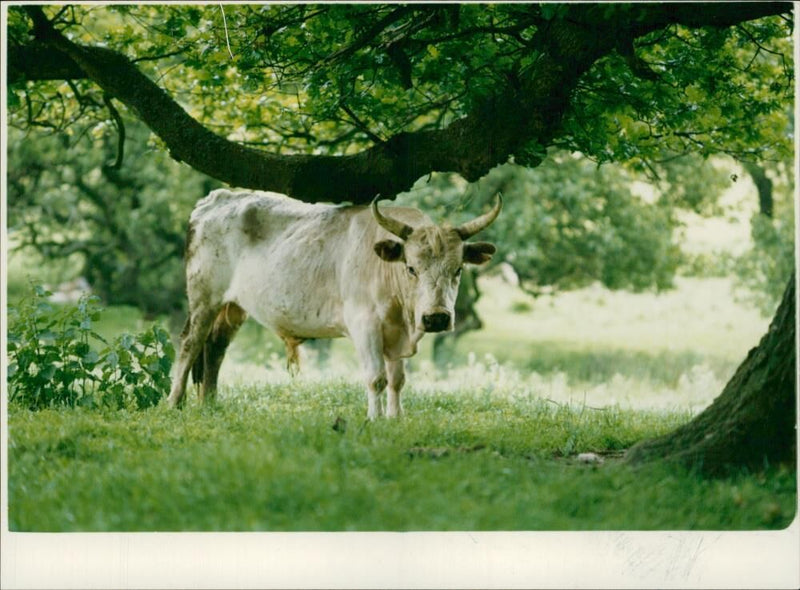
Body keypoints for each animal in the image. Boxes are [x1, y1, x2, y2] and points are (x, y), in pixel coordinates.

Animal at [168, 191, 500, 420]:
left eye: (458, 269)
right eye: (411, 268)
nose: (436, 318)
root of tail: (216, 198)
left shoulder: (395, 333)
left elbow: (397, 380)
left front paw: (396, 418)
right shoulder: (365, 326)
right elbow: (377, 378)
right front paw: (375, 419)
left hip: (232, 307)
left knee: (215, 349)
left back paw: (210, 403)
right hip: (203, 299)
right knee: (189, 344)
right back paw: (175, 402)